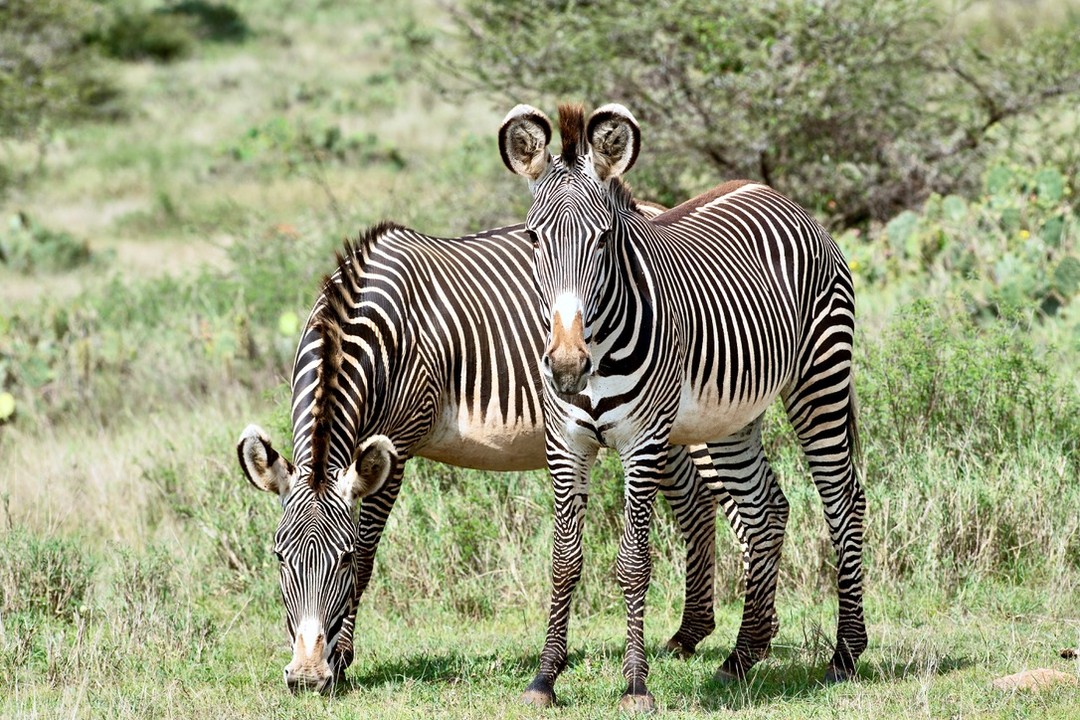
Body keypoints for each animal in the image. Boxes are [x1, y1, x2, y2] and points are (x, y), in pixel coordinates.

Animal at [236, 207, 759, 694]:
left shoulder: (398, 447)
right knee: (695, 503)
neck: (376, 332)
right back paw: (690, 634)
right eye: (279, 557)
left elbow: (368, 553)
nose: (306, 676)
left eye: (340, 560)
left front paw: (343, 660)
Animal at [499, 103, 866, 711]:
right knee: (767, 510)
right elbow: (564, 561)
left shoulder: (643, 443)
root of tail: (776, 193)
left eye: (603, 240)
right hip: (730, 418)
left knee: (844, 502)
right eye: (533, 238)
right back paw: (741, 657)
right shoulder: (564, 443)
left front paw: (635, 685)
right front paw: (545, 678)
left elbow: (632, 562)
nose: (568, 366)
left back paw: (845, 654)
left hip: (821, 378)